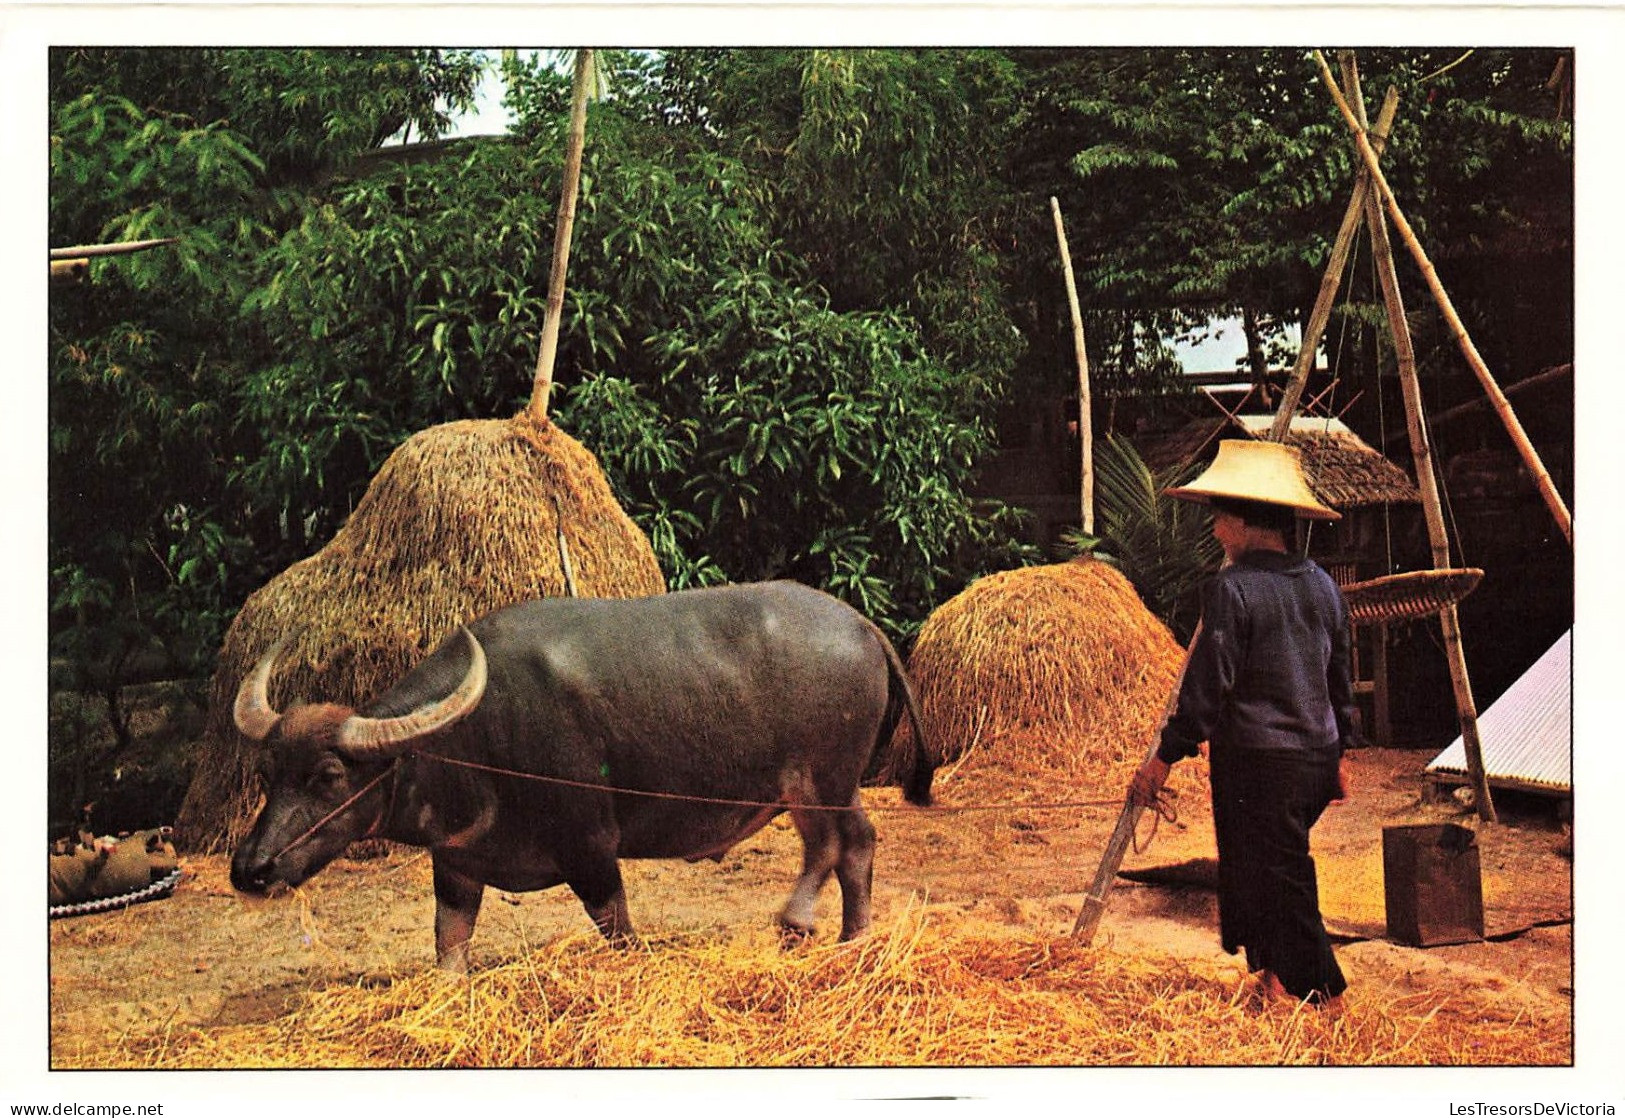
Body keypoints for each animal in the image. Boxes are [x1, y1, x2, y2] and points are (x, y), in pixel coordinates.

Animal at [232, 581, 942, 975]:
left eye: (329, 775)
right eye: (267, 774)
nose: (251, 870)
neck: (476, 740)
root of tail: (862, 627)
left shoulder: (592, 849)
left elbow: (616, 928)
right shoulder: (456, 865)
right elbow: (449, 949)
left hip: (822, 779)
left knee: (842, 843)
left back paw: (807, 923)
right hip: (819, 787)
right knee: (846, 845)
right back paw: (850, 936)